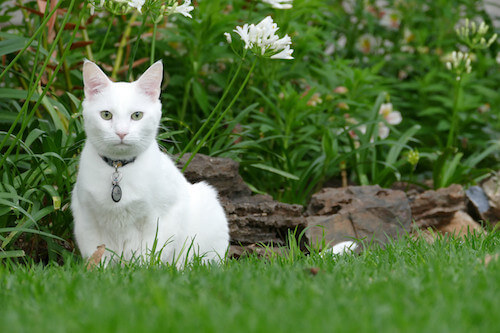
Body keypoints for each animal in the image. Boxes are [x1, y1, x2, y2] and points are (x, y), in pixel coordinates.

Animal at [71, 60, 229, 264]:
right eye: (106, 115)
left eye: (137, 115)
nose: (121, 132)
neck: (119, 168)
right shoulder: (87, 220)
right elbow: (97, 257)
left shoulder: (161, 219)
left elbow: (149, 256)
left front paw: (141, 269)